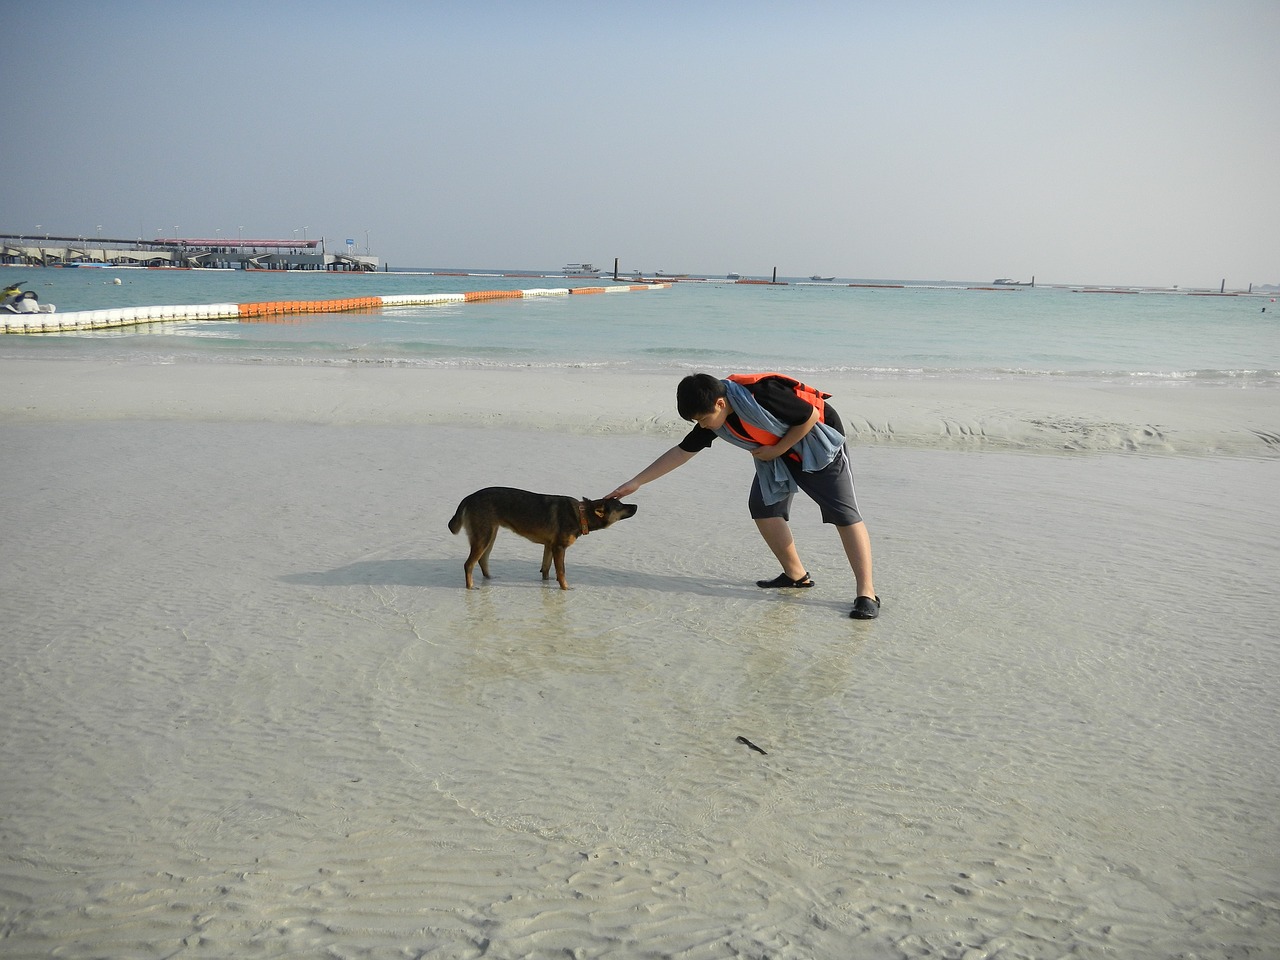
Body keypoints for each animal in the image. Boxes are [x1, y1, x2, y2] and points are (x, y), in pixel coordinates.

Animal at [448, 483, 637, 591]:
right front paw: (565, 588)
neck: (582, 514)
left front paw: (547, 583)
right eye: (620, 506)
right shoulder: (559, 548)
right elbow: (561, 571)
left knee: (482, 560)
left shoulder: (549, 546)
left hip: (490, 535)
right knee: (469, 564)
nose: (636, 505)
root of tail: (469, 497)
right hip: (484, 536)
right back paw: (471, 586)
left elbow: (546, 568)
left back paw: (489, 579)